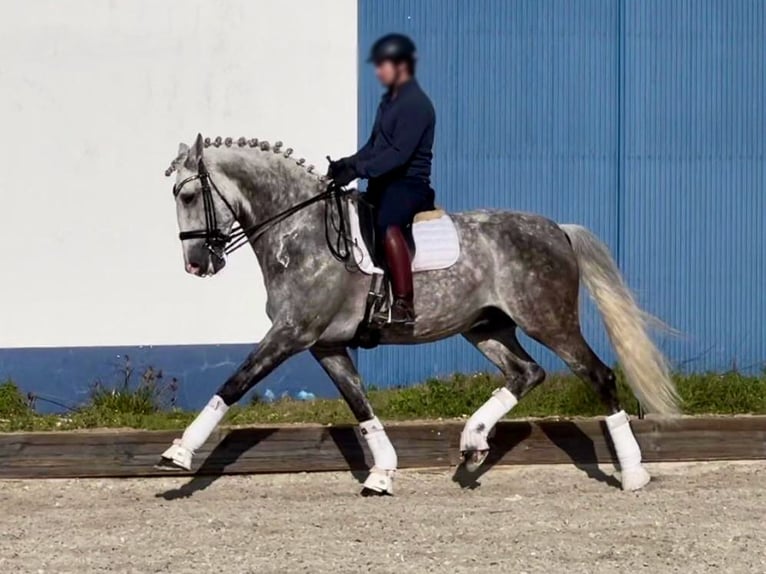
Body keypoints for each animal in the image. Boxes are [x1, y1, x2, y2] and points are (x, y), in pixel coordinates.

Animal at [158, 134, 680, 496]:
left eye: (187, 196)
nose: (196, 264)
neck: (299, 230)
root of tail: (557, 229)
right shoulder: (326, 344)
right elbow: (361, 407)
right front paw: (382, 473)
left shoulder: (291, 333)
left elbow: (234, 383)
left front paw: (177, 453)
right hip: (485, 327)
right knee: (526, 373)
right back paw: (473, 443)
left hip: (548, 321)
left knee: (599, 375)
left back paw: (633, 473)